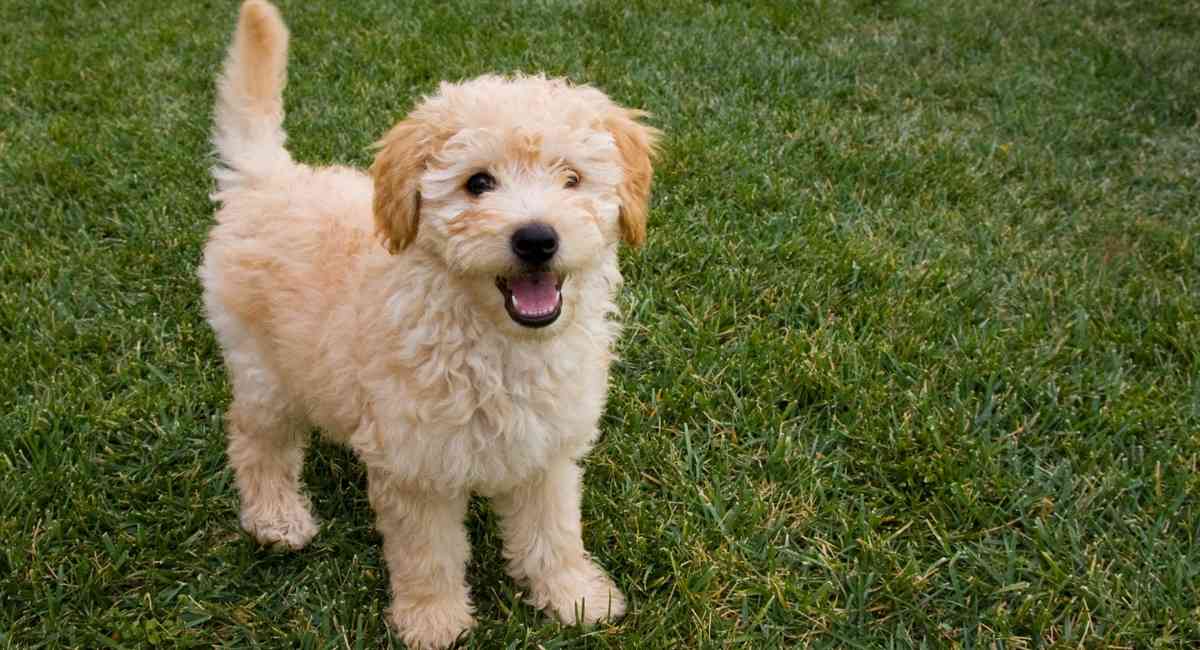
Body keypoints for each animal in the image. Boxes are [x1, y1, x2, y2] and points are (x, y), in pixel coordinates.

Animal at [200, 1, 662, 647]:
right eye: (478, 183)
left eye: (571, 178)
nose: (537, 239)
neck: (496, 342)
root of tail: (269, 178)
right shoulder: (417, 468)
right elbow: (429, 554)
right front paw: (434, 620)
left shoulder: (545, 448)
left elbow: (555, 532)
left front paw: (575, 597)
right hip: (263, 368)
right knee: (254, 440)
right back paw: (277, 518)